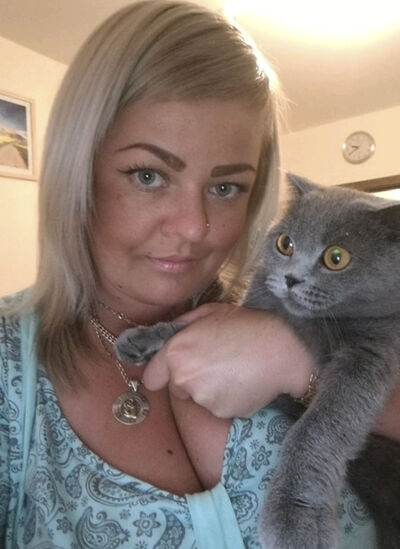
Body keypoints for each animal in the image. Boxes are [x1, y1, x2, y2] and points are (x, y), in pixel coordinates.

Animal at [116, 174, 400, 549]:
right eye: (285, 244)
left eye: (336, 258)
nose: (291, 278)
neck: (311, 324)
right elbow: (196, 323)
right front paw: (143, 338)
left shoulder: (370, 357)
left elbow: (318, 427)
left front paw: (294, 520)